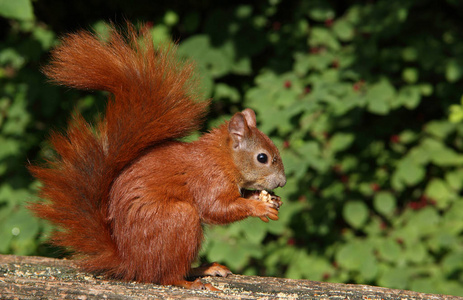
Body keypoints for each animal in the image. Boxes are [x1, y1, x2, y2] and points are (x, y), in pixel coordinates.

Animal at [29, 24, 286, 292]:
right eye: (262, 157)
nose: (282, 182)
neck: (222, 159)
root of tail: (130, 263)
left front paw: (269, 200)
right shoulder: (208, 179)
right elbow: (216, 208)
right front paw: (258, 206)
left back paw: (206, 269)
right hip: (178, 220)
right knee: (166, 276)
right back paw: (192, 282)